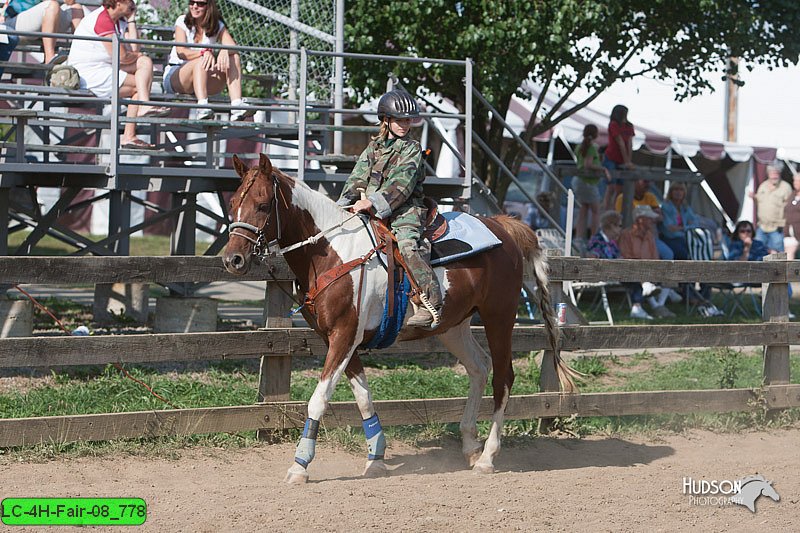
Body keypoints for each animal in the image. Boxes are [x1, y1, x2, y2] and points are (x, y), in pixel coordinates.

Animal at [222, 154, 580, 482]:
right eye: (233, 203)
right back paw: (469, 445)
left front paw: (300, 465)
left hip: (499, 317)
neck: (333, 252)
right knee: (479, 367)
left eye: (263, 205)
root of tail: (503, 227)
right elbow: (364, 398)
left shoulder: (343, 336)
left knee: (503, 378)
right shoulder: (343, 340)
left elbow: (318, 400)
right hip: (453, 326)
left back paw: (487, 458)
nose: (232, 259)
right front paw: (376, 458)